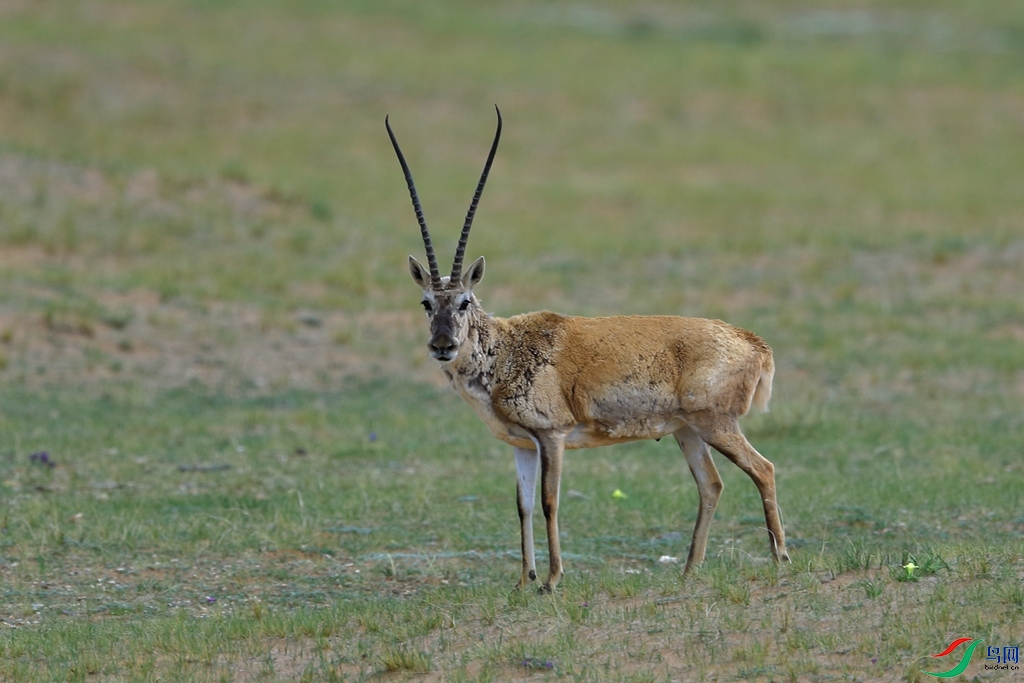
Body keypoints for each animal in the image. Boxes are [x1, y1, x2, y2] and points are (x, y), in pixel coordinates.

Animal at [385, 108, 790, 593]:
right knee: (711, 485)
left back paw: (780, 558)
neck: (507, 349)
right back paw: (690, 569)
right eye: (427, 302)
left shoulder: (552, 436)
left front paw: (551, 580)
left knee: (763, 469)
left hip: (716, 425)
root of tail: (753, 342)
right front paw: (523, 581)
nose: (443, 345)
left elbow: (549, 502)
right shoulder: (521, 445)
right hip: (687, 432)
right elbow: (521, 505)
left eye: (464, 301)